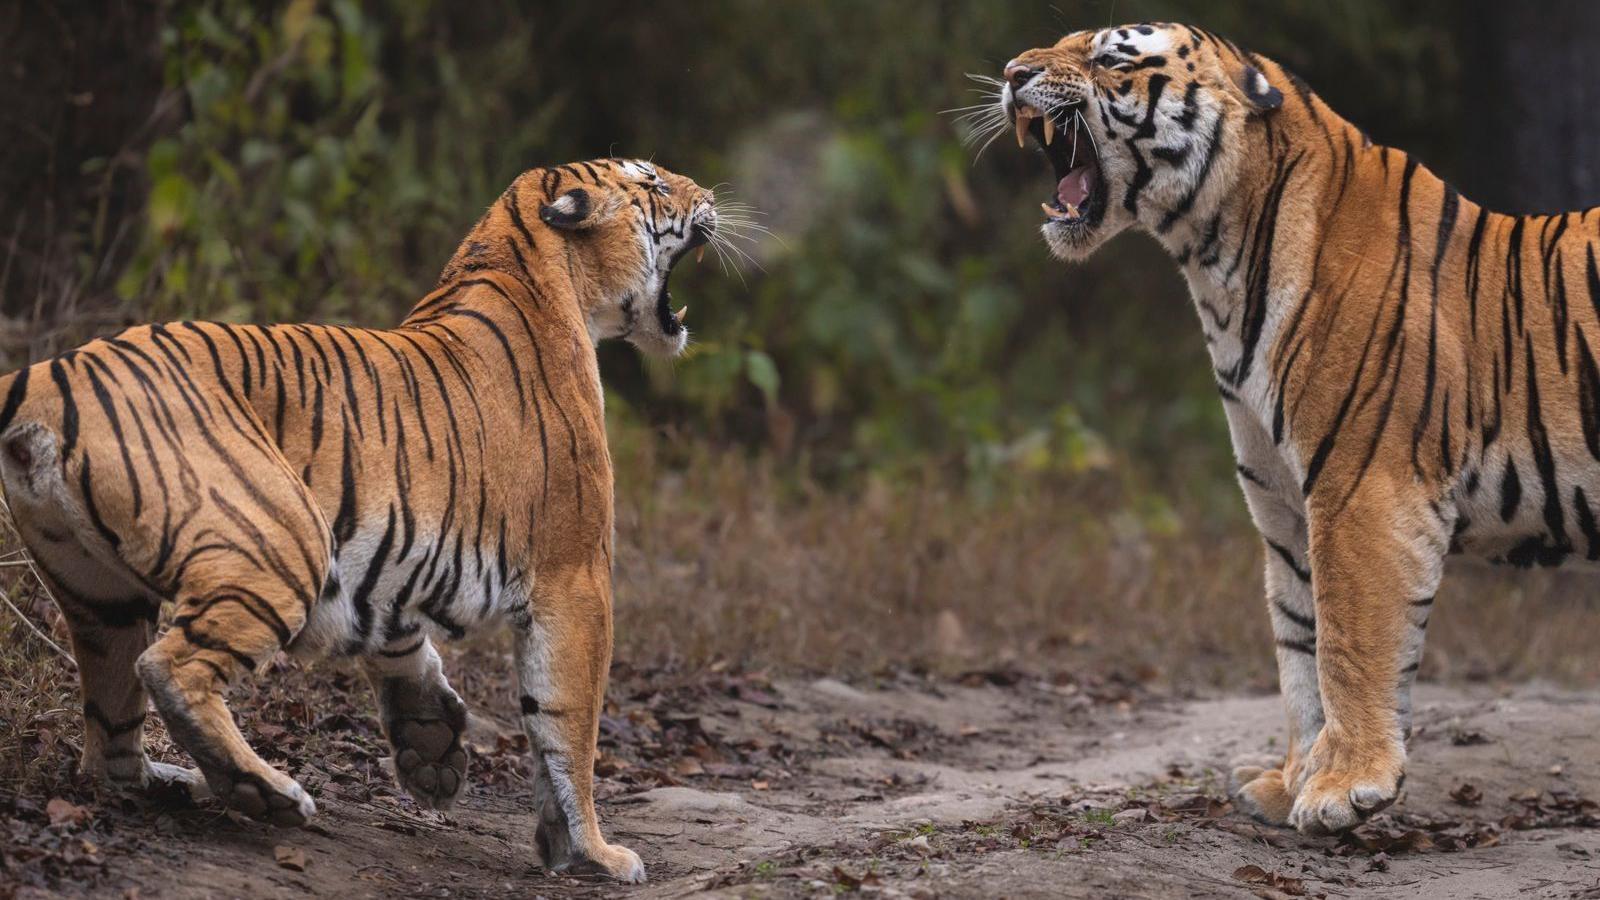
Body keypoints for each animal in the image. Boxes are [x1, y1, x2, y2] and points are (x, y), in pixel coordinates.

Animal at [0, 157, 720, 877]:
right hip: (280, 537)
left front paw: (433, 746)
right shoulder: (576, 575)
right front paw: (594, 852)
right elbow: (569, 722)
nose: (710, 195)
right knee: (169, 667)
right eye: (654, 183)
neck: (526, 261)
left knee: (110, 728)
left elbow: (401, 641)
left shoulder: (389, 557)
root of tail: (52, 370)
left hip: (99, 598)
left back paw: (165, 781)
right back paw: (265, 789)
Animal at [992, 22, 1600, 832]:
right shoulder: (1283, 507)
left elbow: (1348, 641)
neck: (1215, 267)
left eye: (1110, 56)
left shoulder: (1361, 490)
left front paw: (1346, 787)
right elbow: (1297, 650)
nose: (1010, 74)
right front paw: (1291, 783)